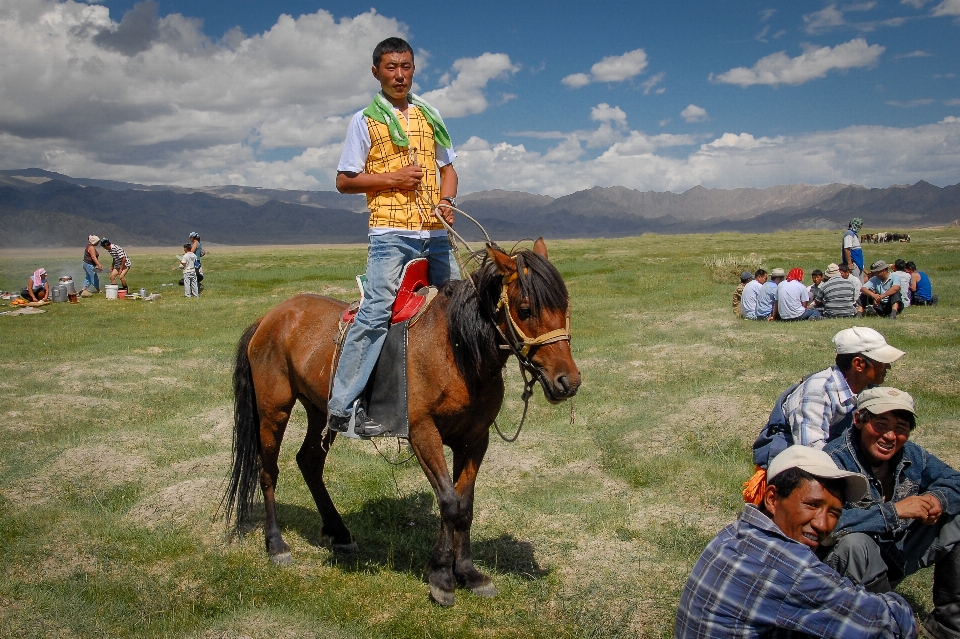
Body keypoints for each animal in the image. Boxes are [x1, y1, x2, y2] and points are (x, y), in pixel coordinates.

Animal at [225, 239, 580, 604]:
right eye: (525, 309)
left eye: (565, 305)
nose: (568, 381)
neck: (456, 350)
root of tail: (269, 317)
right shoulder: (423, 433)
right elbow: (449, 502)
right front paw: (442, 576)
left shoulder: (474, 439)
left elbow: (464, 505)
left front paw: (468, 573)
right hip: (274, 409)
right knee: (268, 470)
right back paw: (276, 545)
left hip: (321, 411)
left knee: (309, 462)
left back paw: (339, 533)